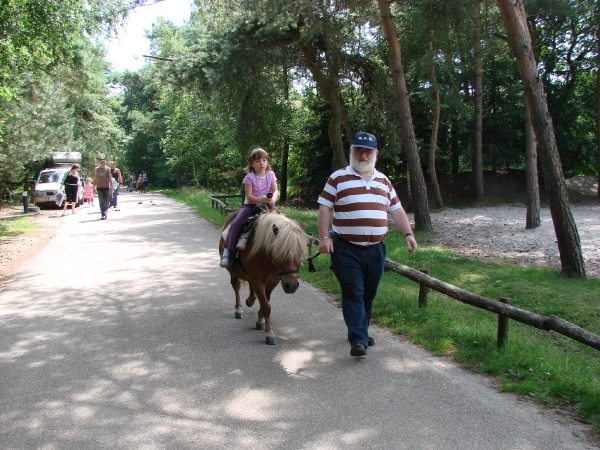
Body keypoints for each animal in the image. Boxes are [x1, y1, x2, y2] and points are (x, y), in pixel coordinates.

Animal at [218, 210, 308, 344]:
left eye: (299, 252)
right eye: (279, 252)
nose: (291, 286)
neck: (264, 255)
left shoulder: (273, 281)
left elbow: (265, 301)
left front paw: (260, 320)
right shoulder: (258, 281)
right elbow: (266, 306)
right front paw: (269, 333)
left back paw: (250, 300)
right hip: (232, 270)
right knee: (236, 286)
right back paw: (238, 309)